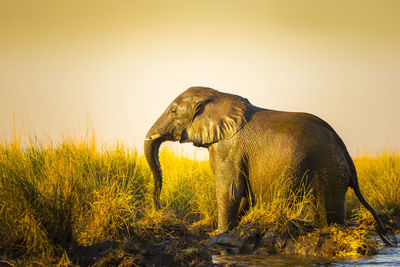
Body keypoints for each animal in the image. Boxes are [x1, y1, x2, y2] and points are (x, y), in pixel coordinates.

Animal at [143, 87, 390, 246]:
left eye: (174, 111)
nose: (159, 207)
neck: (218, 95)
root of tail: (345, 151)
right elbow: (241, 192)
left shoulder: (227, 146)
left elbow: (229, 190)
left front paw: (217, 234)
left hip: (328, 169)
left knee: (327, 212)